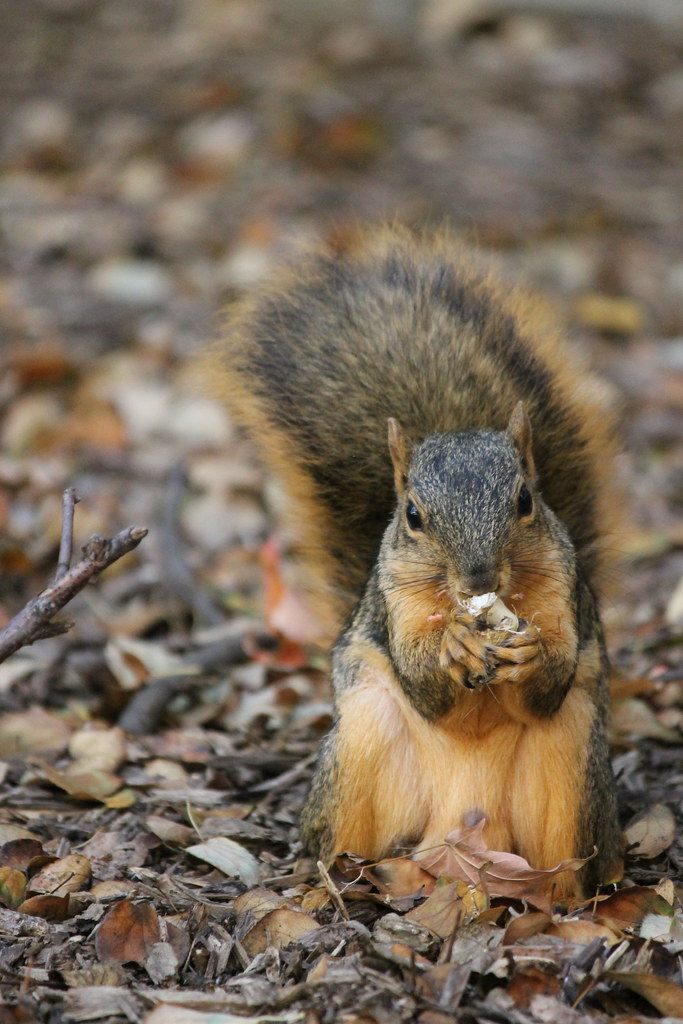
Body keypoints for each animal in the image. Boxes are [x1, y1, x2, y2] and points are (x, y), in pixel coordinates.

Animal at [204, 224, 624, 899]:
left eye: (526, 500)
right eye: (413, 515)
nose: (479, 578)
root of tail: (462, 841)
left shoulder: (564, 591)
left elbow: (548, 684)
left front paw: (531, 653)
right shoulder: (394, 598)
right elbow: (427, 690)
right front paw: (453, 644)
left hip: (575, 764)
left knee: (571, 864)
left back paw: (556, 899)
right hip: (363, 742)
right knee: (344, 841)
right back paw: (342, 881)